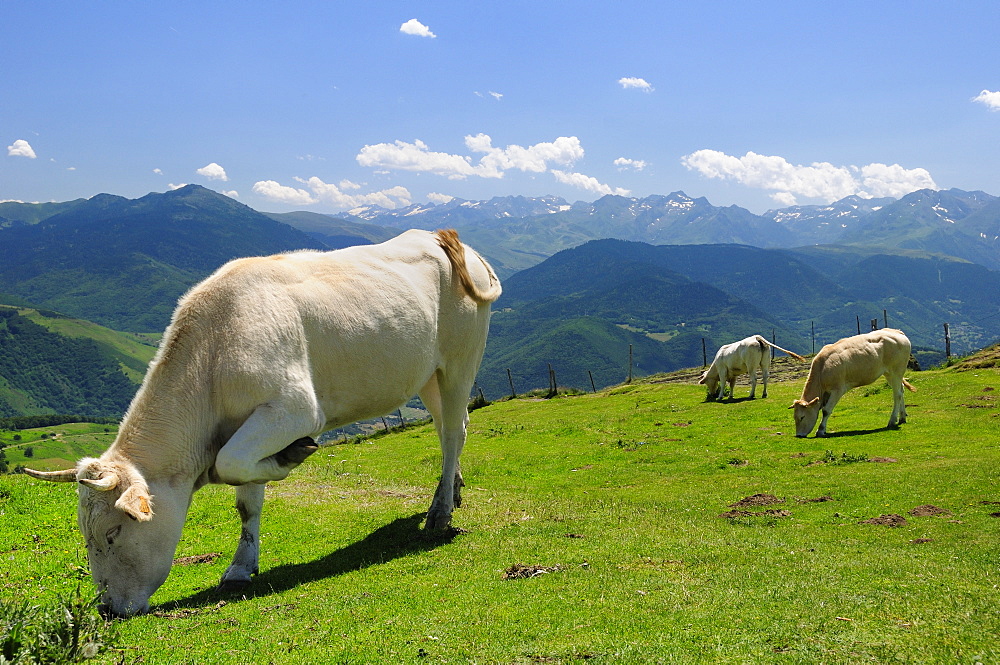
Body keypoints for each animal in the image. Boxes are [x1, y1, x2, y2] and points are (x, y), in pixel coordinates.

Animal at [25, 228, 500, 616]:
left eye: (111, 533)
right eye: (86, 536)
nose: (107, 609)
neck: (212, 360)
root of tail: (439, 236)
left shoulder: (294, 409)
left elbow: (228, 463)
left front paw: (291, 456)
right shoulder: (247, 423)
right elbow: (246, 500)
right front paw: (240, 566)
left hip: (460, 361)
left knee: (453, 431)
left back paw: (440, 513)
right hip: (429, 375)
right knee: (449, 429)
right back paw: (451, 491)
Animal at [788, 328, 916, 436]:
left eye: (802, 417)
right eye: (794, 417)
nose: (799, 435)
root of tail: (896, 331)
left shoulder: (838, 389)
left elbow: (826, 410)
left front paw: (821, 430)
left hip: (896, 371)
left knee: (897, 394)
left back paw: (892, 421)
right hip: (890, 373)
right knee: (901, 391)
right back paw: (902, 418)